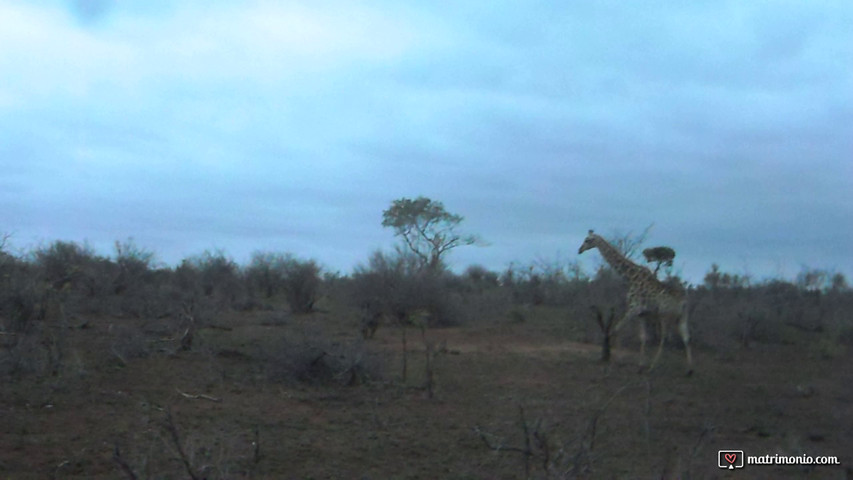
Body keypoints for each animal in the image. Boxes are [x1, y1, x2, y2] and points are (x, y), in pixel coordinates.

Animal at [580, 230, 692, 376]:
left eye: (588, 240)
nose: (580, 250)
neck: (630, 277)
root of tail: (684, 301)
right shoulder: (641, 313)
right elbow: (642, 337)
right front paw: (639, 366)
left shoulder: (633, 308)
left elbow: (616, 330)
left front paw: (613, 361)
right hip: (682, 316)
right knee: (686, 337)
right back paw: (689, 370)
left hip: (664, 315)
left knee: (665, 338)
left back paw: (653, 367)